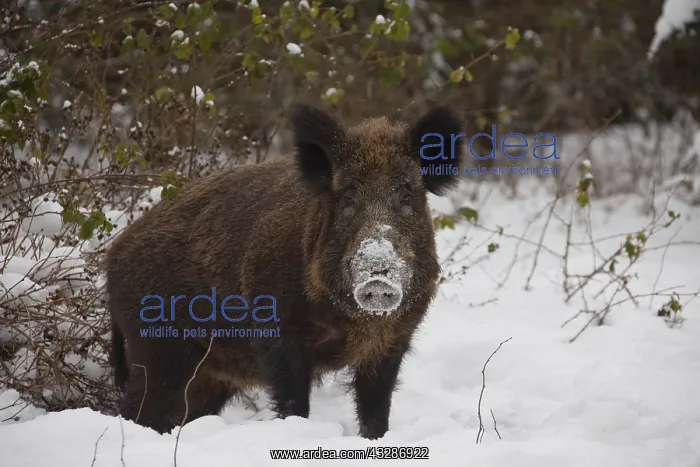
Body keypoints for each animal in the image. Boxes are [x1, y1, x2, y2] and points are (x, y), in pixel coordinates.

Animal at [106, 103, 464, 438]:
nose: (377, 275)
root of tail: (113, 256)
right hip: (156, 350)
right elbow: (293, 404)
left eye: (406, 194)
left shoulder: (392, 342)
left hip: (206, 376)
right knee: (138, 410)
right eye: (348, 197)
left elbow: (375, 411)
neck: (353, 323)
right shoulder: (279, 337)